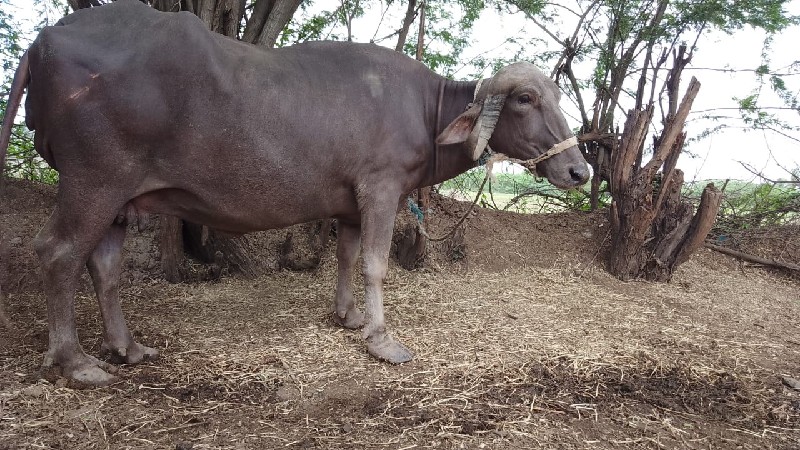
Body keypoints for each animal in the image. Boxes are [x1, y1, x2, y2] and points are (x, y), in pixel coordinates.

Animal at [0, 0, 588, 386]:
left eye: (557, 96)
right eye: (526, 99)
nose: (580, 170)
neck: (424, 108)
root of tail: (46, 39)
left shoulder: (350, 205)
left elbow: (347, 256)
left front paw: (348, 316)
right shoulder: (381, 188)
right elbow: (376, 263)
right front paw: (381, 339)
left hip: (119, 200)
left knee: (104, 266)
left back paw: (126, 347)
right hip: (93, 182)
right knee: (58, 253)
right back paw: (76, 361)